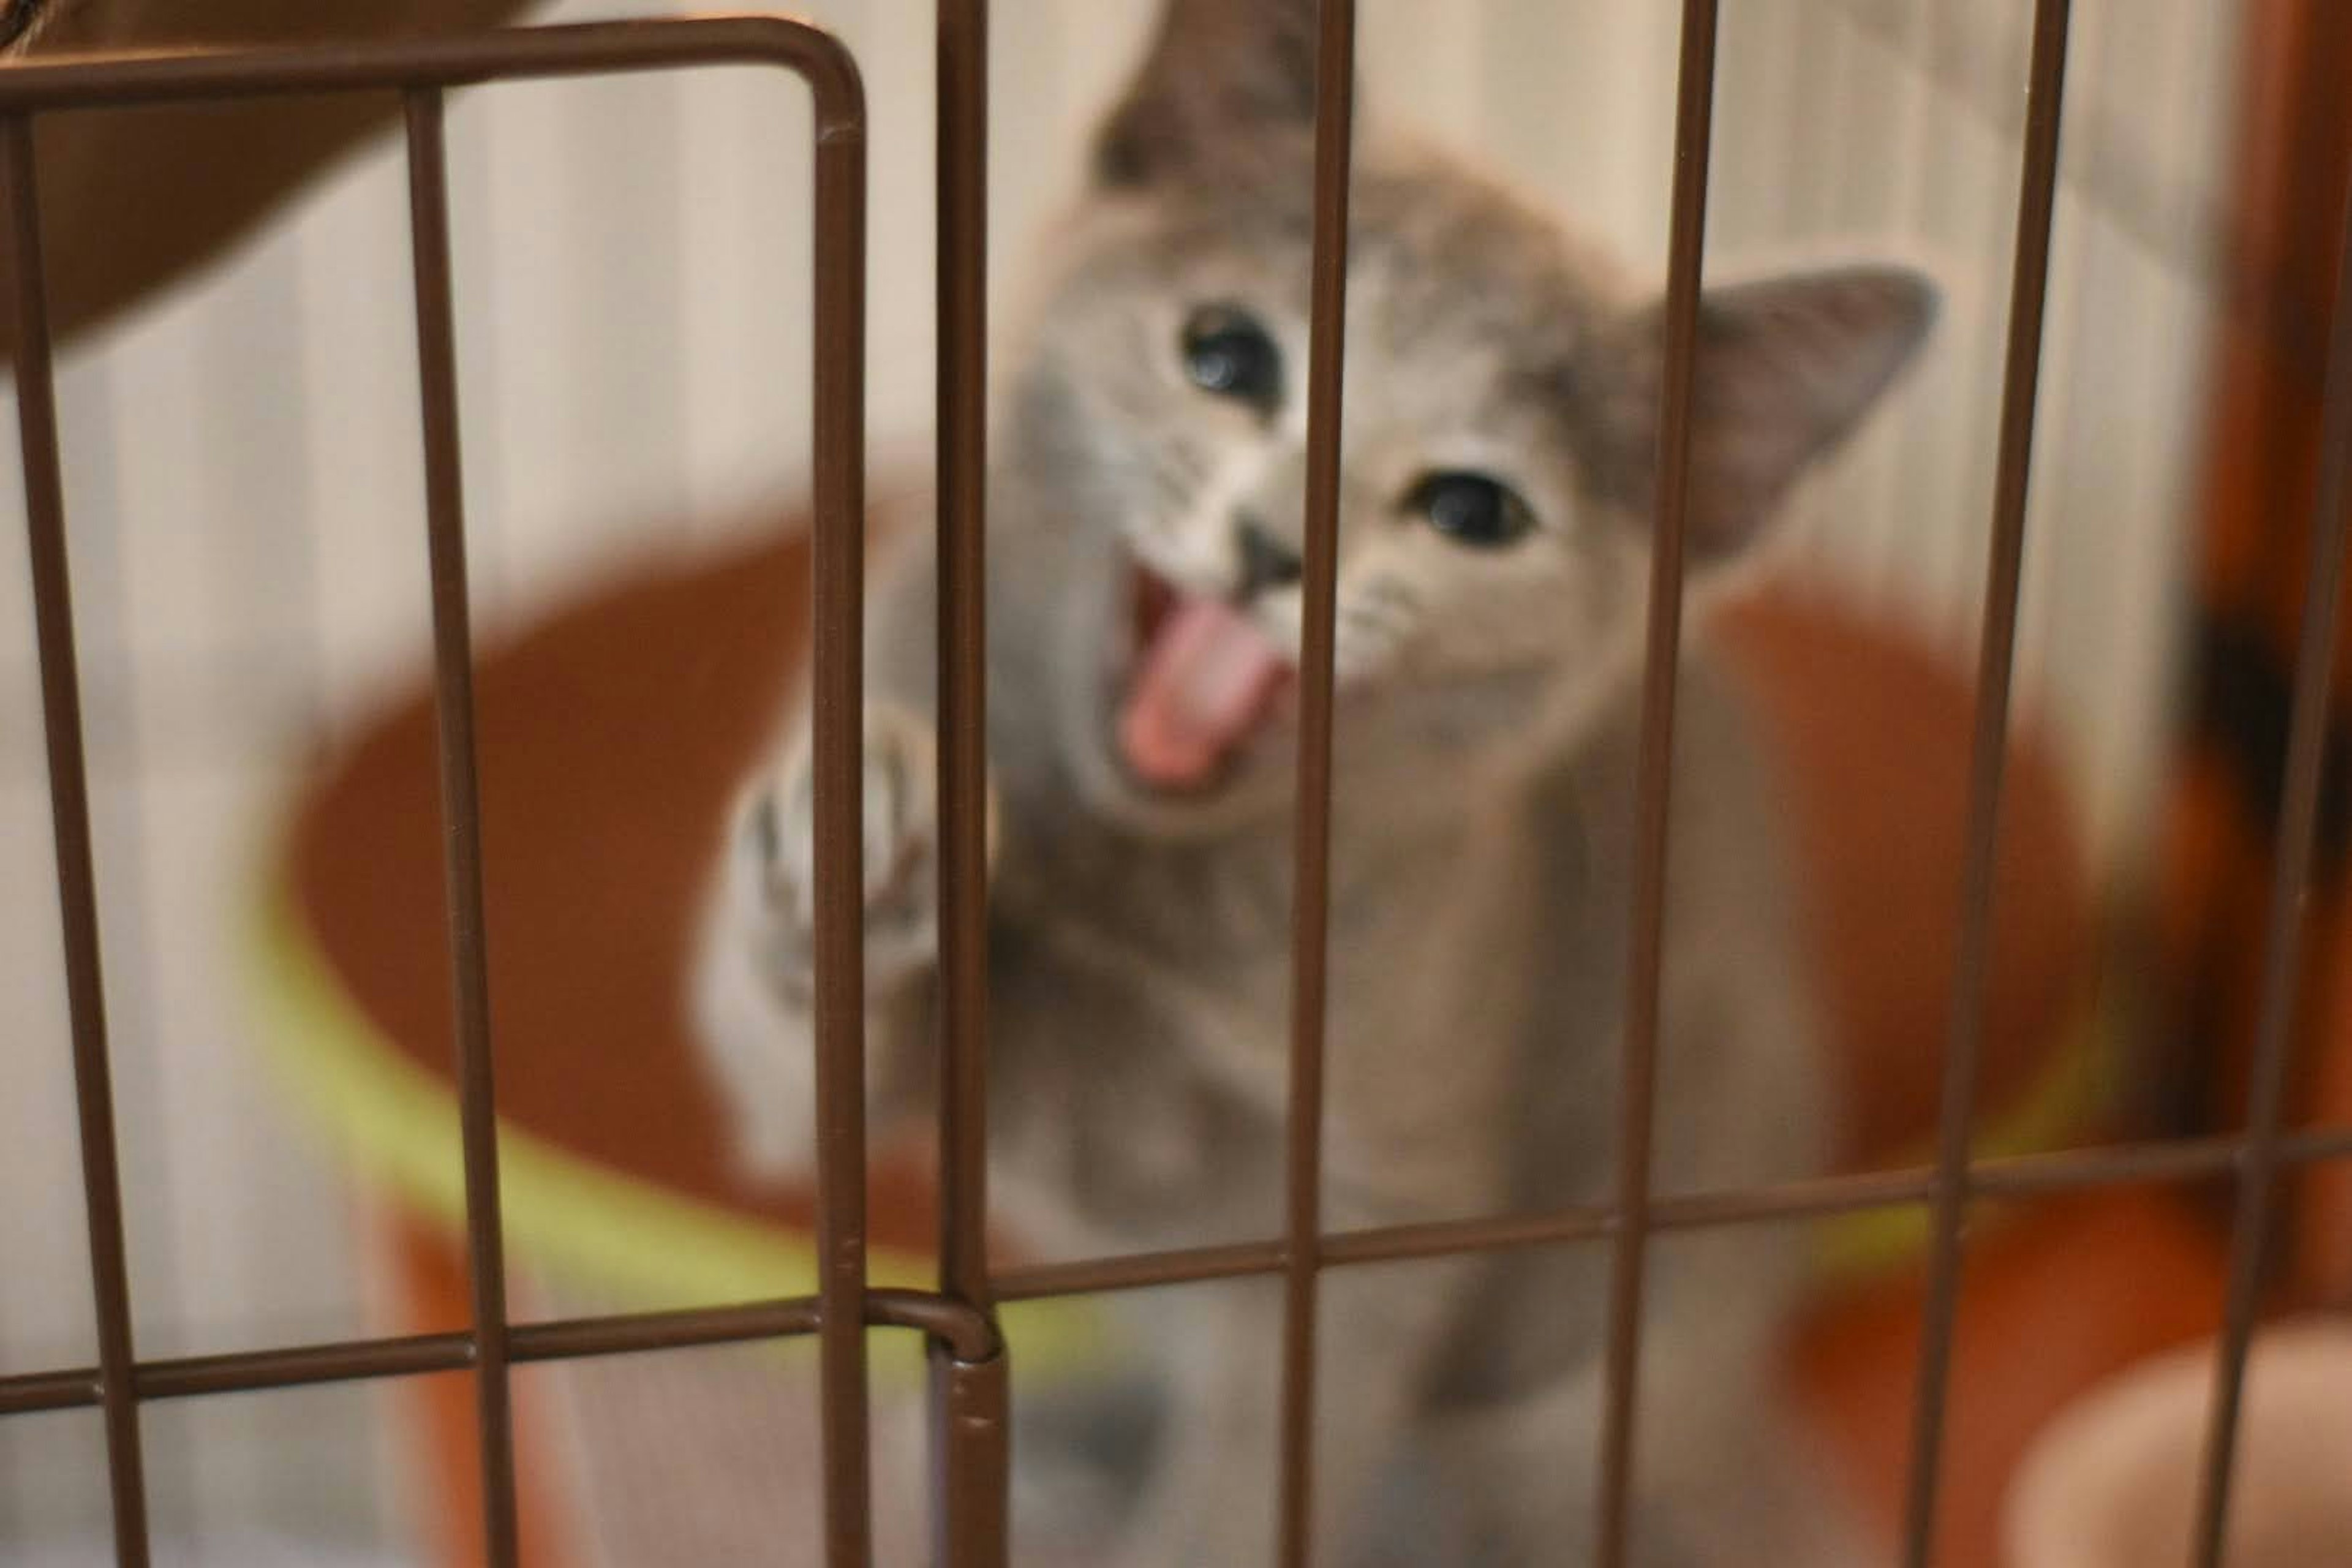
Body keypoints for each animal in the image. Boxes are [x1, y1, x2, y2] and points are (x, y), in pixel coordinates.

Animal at [691, 6, 1928, 1561]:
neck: (1140, 890)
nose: (1276, 544)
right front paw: (856, 825)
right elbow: (795, 1088)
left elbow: (1259, 1455)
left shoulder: (1372, 1204)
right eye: (1225, 356)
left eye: (1471, 509)